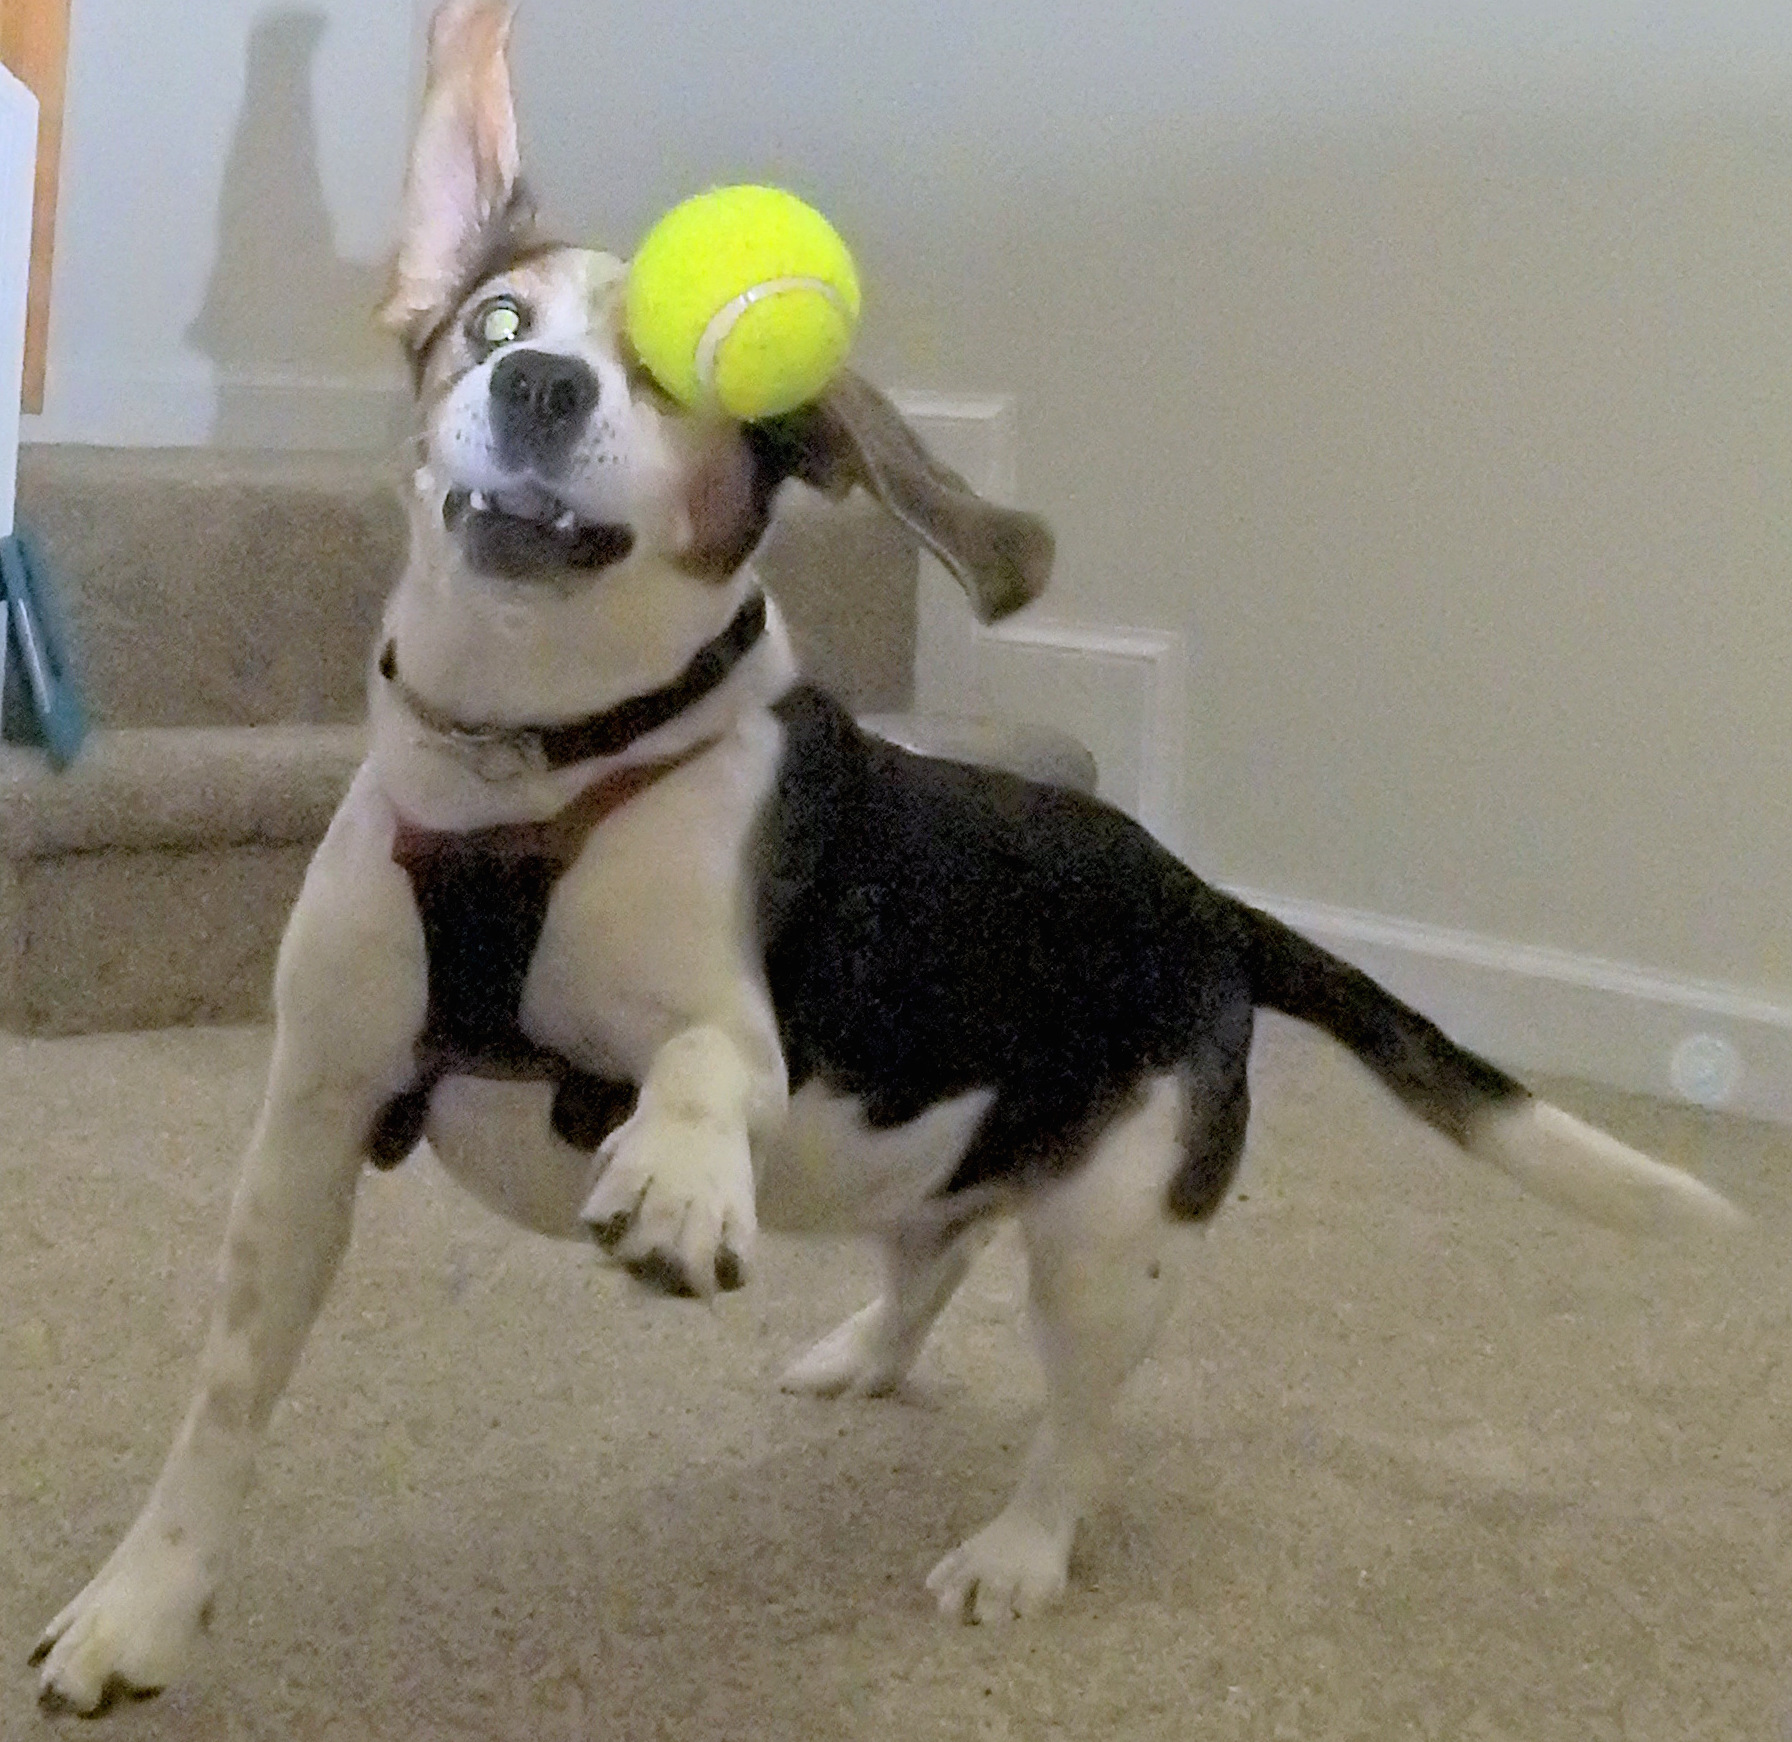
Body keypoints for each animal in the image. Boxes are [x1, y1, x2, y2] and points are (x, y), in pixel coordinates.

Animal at [28, 0, 1741, 1713]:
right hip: (946, 1153)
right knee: (940, 1241)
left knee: (1080, 1419)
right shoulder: (311, 1121)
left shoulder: (730, 1023)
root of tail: (1207, 901)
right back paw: (863, 1349)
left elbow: (708, 1063)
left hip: (1114, 1235)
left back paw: (1019, 1551)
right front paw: (138, 1606)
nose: (540, 389)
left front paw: (674, 1180)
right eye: (494, 319)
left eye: (668, 371)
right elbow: (222, 1404)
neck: (528, 759)